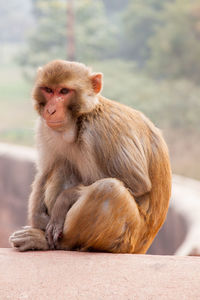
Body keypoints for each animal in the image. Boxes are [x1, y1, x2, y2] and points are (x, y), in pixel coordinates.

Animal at [9, 59, 171, 253]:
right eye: (48, 90)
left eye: (64, 91)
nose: (51, 110)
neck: (78, 120)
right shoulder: (45, 128)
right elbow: (44, 172)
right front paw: (38, 218)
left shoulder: (101, 130)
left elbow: (138, 184)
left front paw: (64, 200)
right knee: (63, 165)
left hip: (128, 238)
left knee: (108, 190)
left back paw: (56, 243)